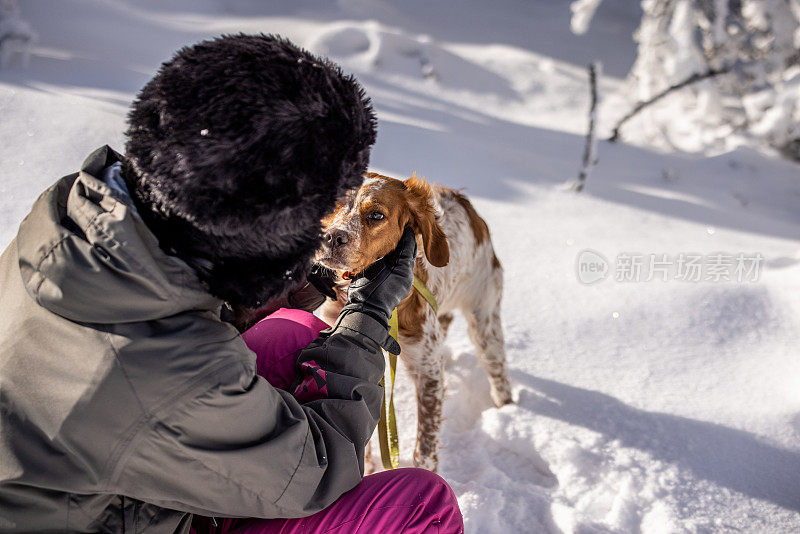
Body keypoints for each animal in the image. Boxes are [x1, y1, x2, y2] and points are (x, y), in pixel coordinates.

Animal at [314, 172, 512, 474]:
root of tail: (465, 202)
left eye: (376, 215)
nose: (332, 237)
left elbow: (425, 450)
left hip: (484, 321)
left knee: (498, 371)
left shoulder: (427, 371)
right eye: (333, 203)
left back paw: (508, 409)